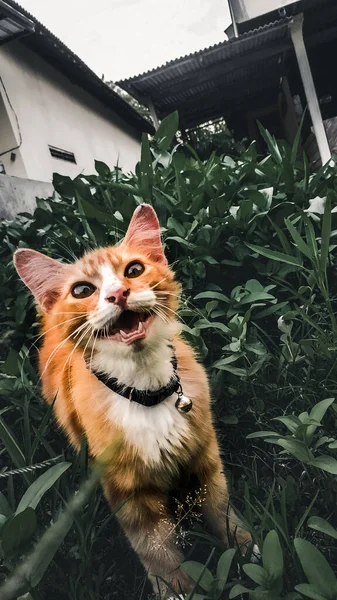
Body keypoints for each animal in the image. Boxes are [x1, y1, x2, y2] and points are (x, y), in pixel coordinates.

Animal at [13, 205, 249, 596]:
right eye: (82, 289)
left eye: (134, 270)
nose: (119, 293)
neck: (146, 393)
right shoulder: (127, 491)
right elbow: (155, 550)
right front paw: (177, 588)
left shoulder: (205, 455)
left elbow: (221, 507)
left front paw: (243, 546)